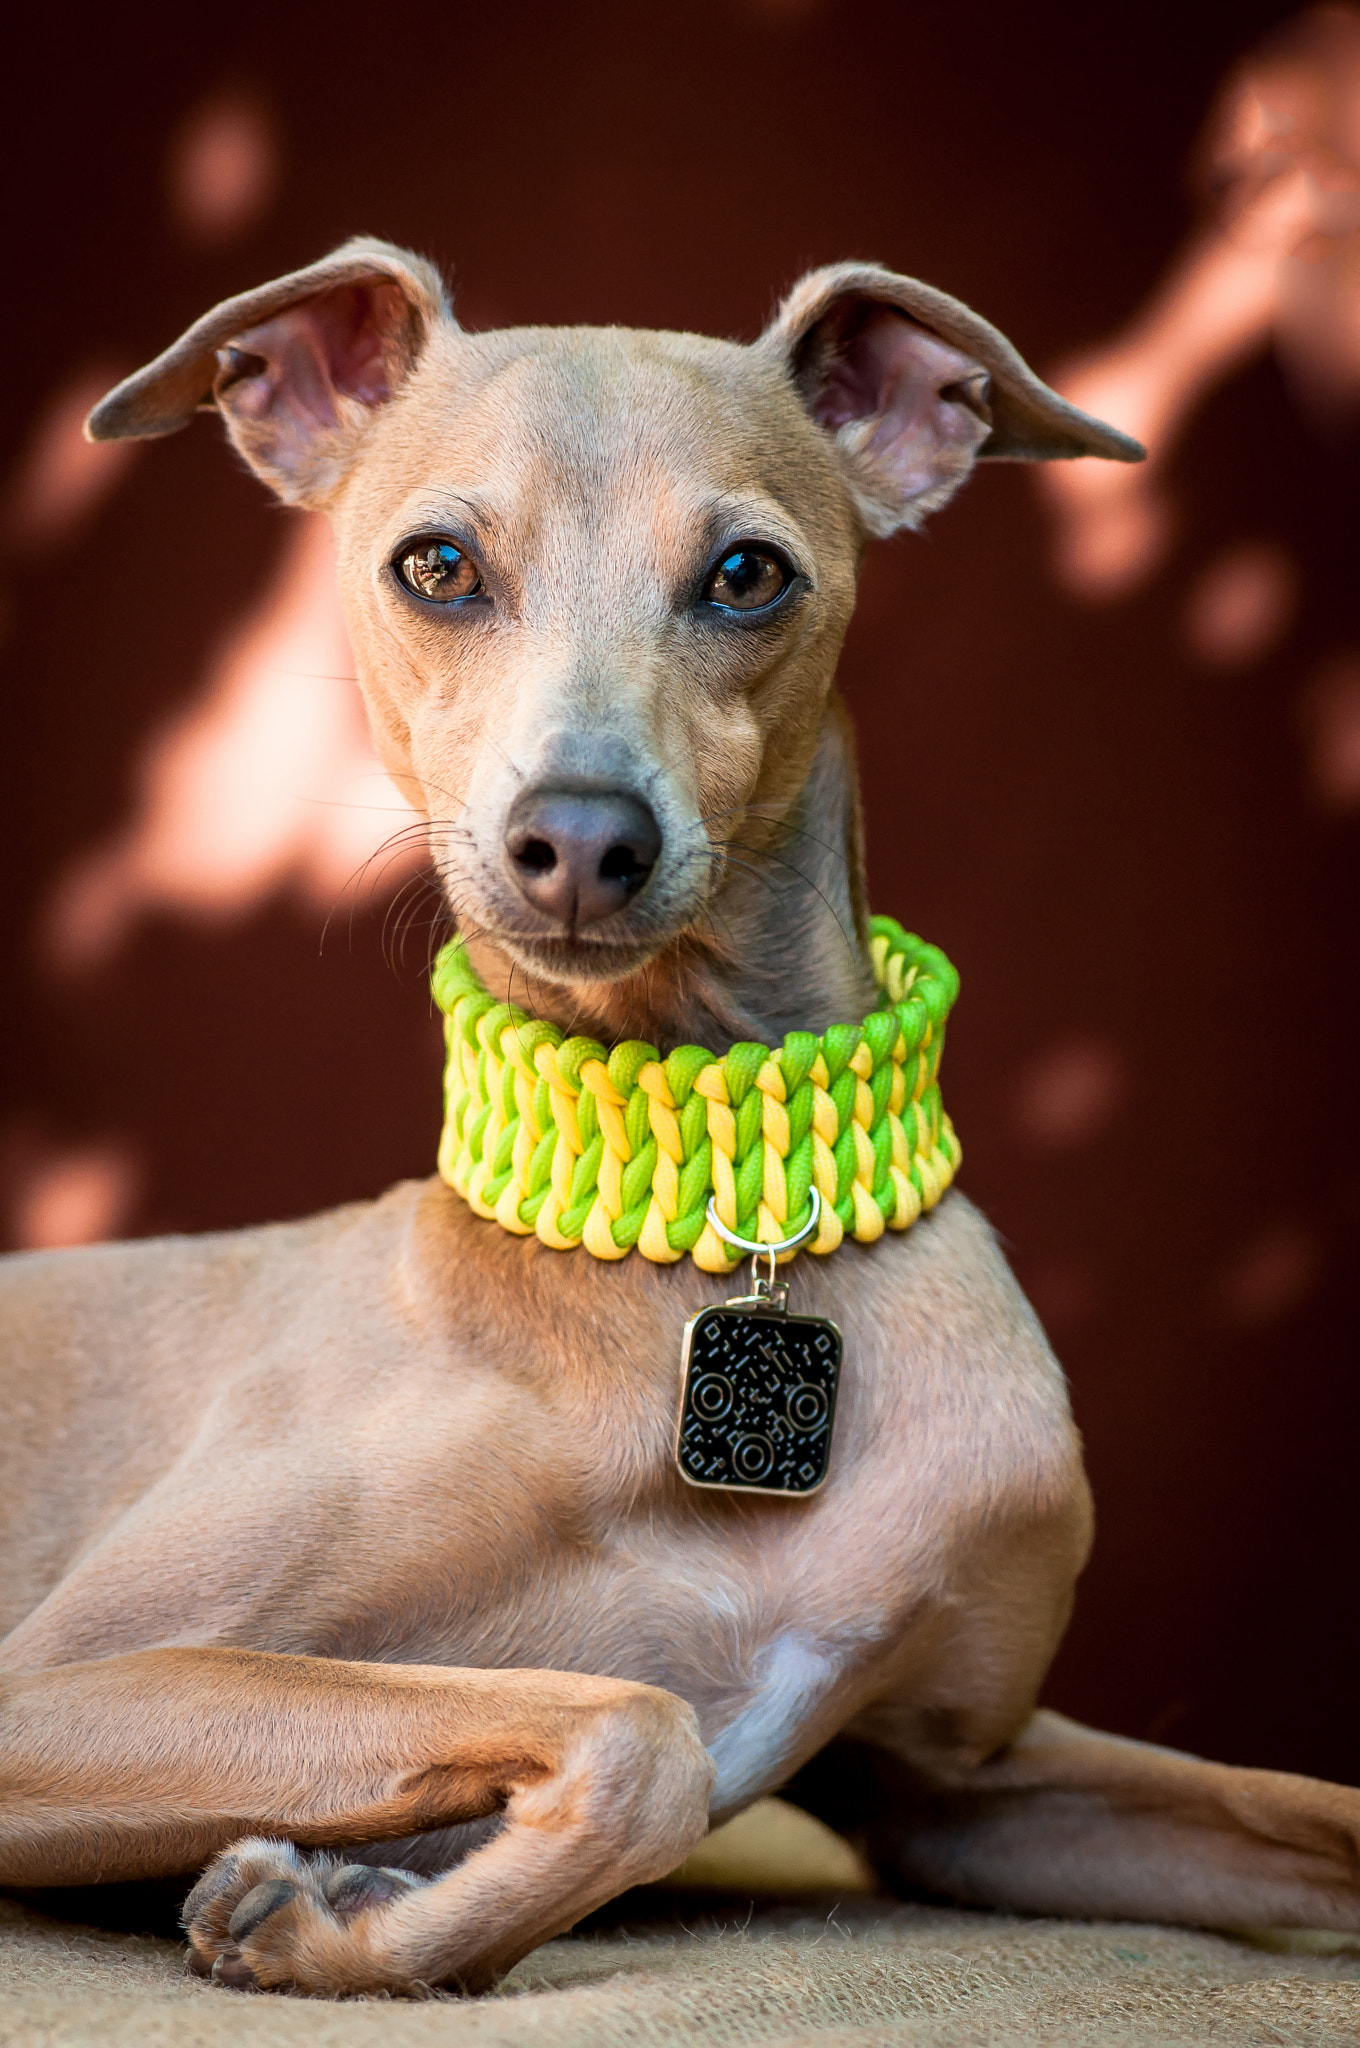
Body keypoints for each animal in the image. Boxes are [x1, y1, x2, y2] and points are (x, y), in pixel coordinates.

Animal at [2, 243, 1360, 1998]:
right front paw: (339, 1917)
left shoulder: (958, 1783)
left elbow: (1310, 1811)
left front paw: (339, 1908)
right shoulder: (59, 1682)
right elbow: (637, 1729)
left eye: (746, 575)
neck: (670, 1261)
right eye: (437, 564)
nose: (581, 838)